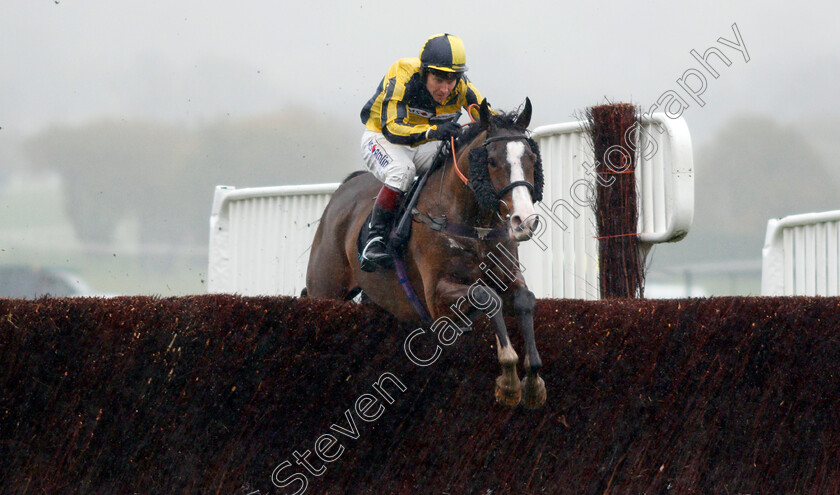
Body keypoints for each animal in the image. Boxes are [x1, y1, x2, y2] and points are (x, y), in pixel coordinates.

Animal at [306, 99, 548, 408]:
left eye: (531, 158)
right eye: (492, 160)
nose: (524, 221)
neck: (472, 224)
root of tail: (342, 192)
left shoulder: (507, 275)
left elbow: (524, 300)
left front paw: (533, 381)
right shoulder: (437, 298)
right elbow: (487, 297)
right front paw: (508, 379)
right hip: (325, 291)